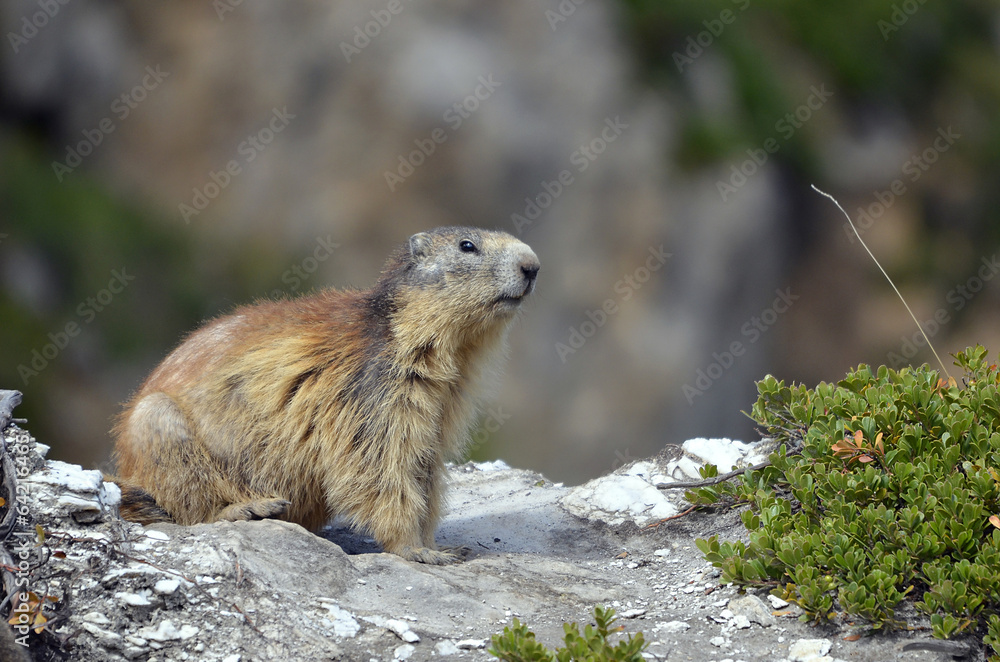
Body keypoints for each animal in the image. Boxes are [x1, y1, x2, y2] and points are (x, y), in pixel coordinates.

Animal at [112, 227, 539, 564]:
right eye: (468, 246)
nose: (533, 265)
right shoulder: (375, 386)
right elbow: (379, 461)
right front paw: (417, 550)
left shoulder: (443, 403)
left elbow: (425, 470)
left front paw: (437, 544)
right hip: (156, 422)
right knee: (188, 505)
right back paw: (249, 506)